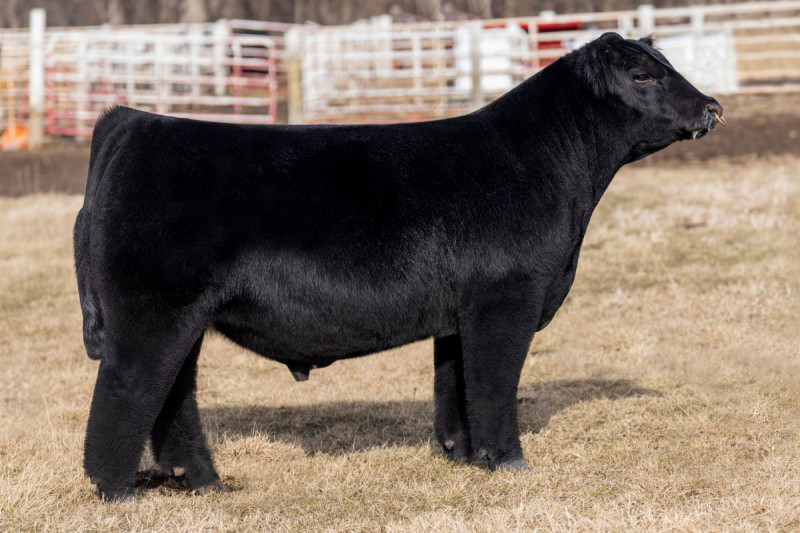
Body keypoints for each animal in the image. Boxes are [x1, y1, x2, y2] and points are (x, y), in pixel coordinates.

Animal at [74, 32, 724, 501]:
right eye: (643, 75)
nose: (712, 106)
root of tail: (133, 121)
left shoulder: (459, 315)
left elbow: (454, 387)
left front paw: (464, 456)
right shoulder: (506, 300)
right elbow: (494, 384)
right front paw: (510, 463)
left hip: (180, 319)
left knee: (173, 398)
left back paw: (206, 485)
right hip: (151, 314)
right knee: (127, 391)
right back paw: (118, 493)